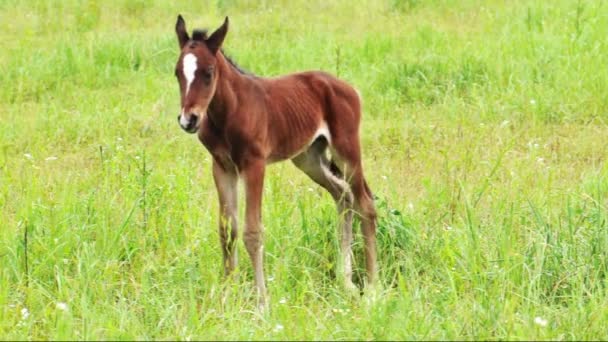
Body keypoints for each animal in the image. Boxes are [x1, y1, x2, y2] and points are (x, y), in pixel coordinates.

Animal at [173, 15, 378, 308]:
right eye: (177, 72)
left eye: (209, 72)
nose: (188, 120)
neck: (230, 111)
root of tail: (347, 88)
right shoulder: (222, 167)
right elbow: (227, 230)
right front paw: (227, 294)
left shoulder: (254, 165)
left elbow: (252, 232)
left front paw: (262, 302)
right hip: (308, 158)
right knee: (343, 195)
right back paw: (346, 281)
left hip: (346, 150)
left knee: (366, 204)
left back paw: (371, 287)